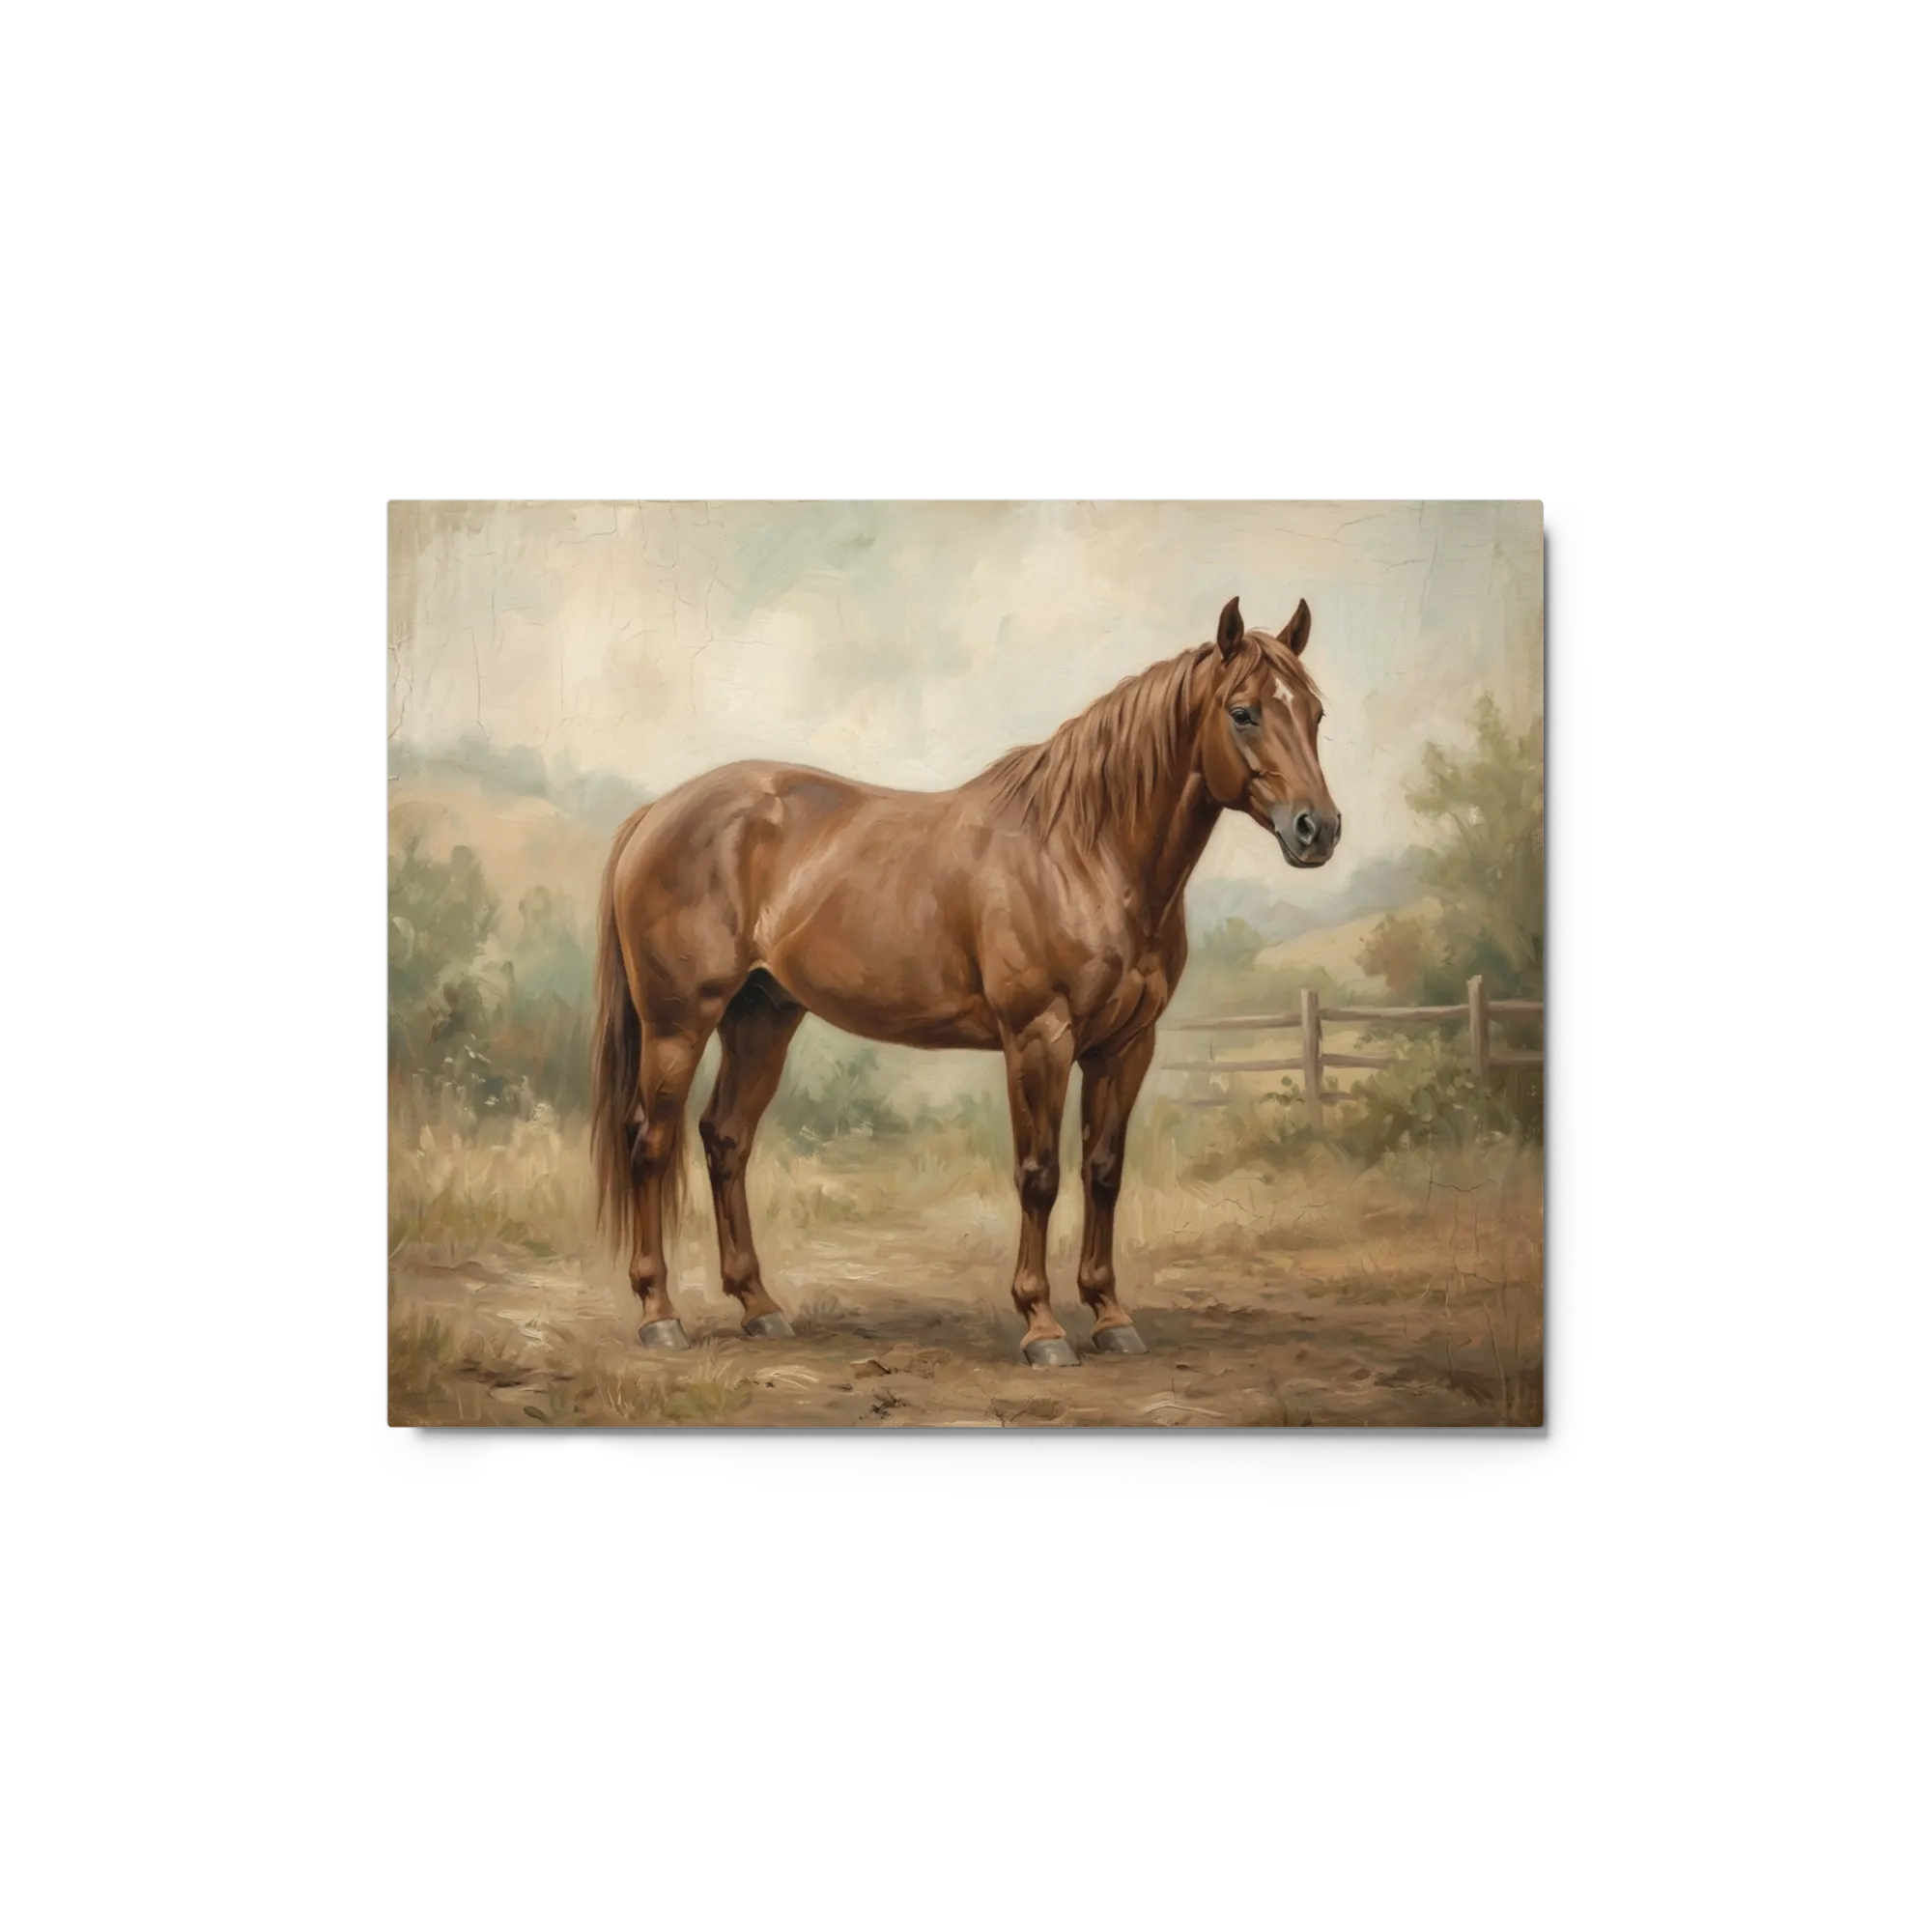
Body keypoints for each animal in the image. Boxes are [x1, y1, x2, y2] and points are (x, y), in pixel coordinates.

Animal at [590, 594, 1342, 1367]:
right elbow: (1039, 1175)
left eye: (1315, 713)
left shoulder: (1127, 1046)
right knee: (651, 1143)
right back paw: (659, 1315)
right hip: (678, 1025)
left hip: (761, 1018)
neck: (1085, 852)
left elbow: (1103, 1172)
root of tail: (656, 814)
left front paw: (1110, 1316)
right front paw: (1042, 1326)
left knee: (725, 1139)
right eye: (1243, 712)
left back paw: (759, 1307)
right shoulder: (1039, 1039)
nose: (1317, 829)